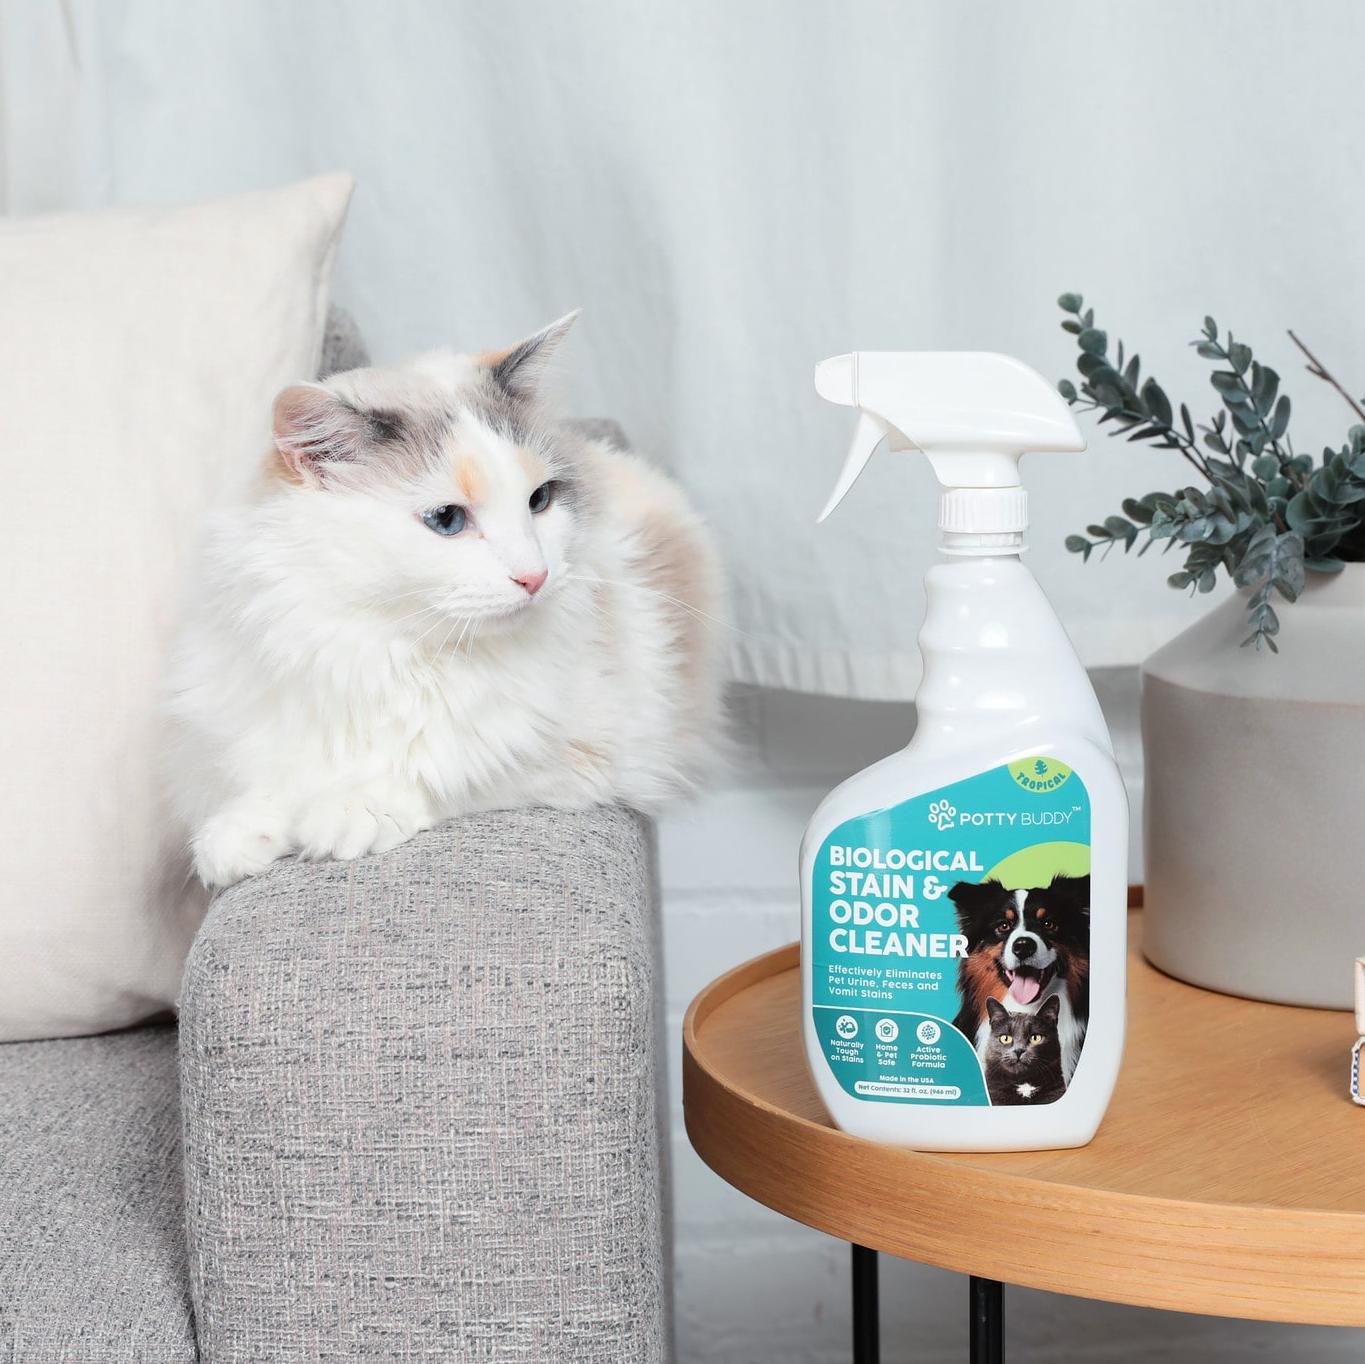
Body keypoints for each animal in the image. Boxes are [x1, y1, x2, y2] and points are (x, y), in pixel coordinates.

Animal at [169, 314, 726, 890]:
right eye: (447, 520)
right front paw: (239, 833)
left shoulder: (590, 756)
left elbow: (448, 773)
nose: (536, 577)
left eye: (540, 500)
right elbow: (269, 774)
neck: (388, 652)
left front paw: (351, 811)